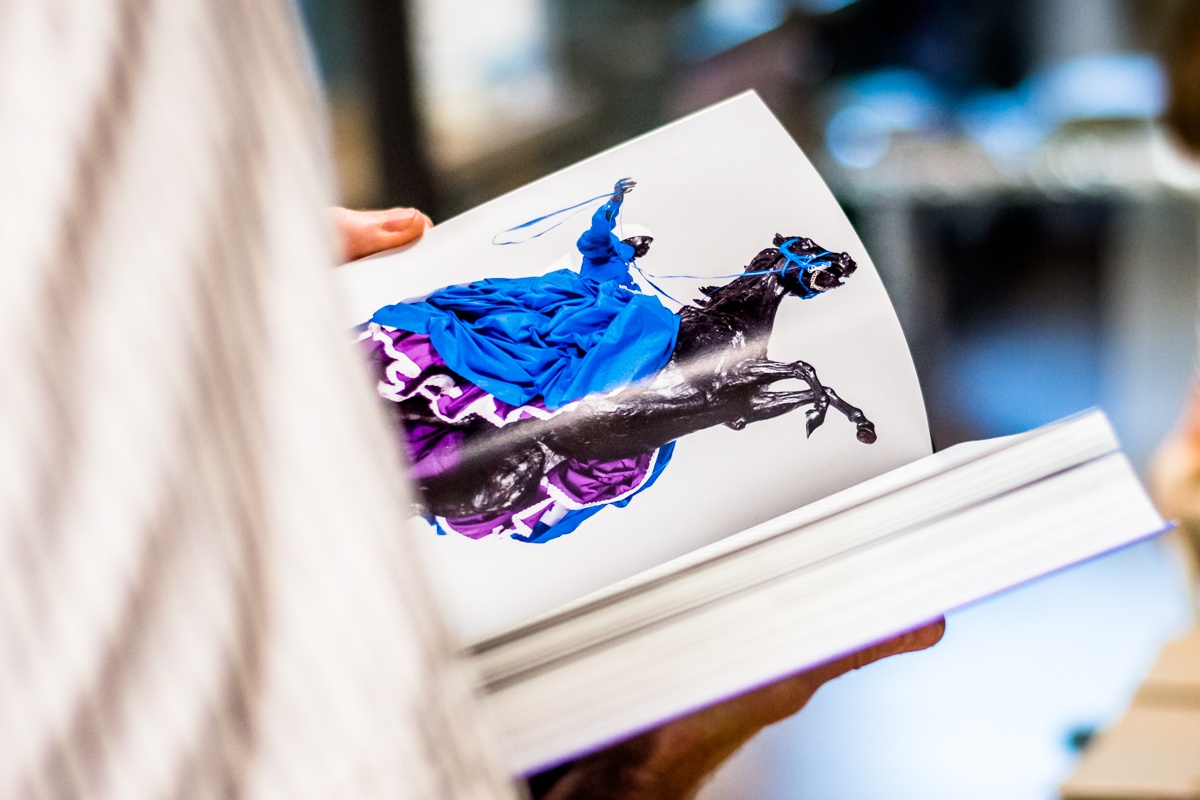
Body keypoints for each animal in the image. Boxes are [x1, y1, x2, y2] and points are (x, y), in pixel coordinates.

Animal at [388, 232, 878, 520]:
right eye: (806, 245)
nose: (848, 258)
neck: (729, 321)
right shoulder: (724, 383)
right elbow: (804, 369)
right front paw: (820, 417)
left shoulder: (743, 405)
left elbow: (813, 384)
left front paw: (861, 425)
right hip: (504, 483)